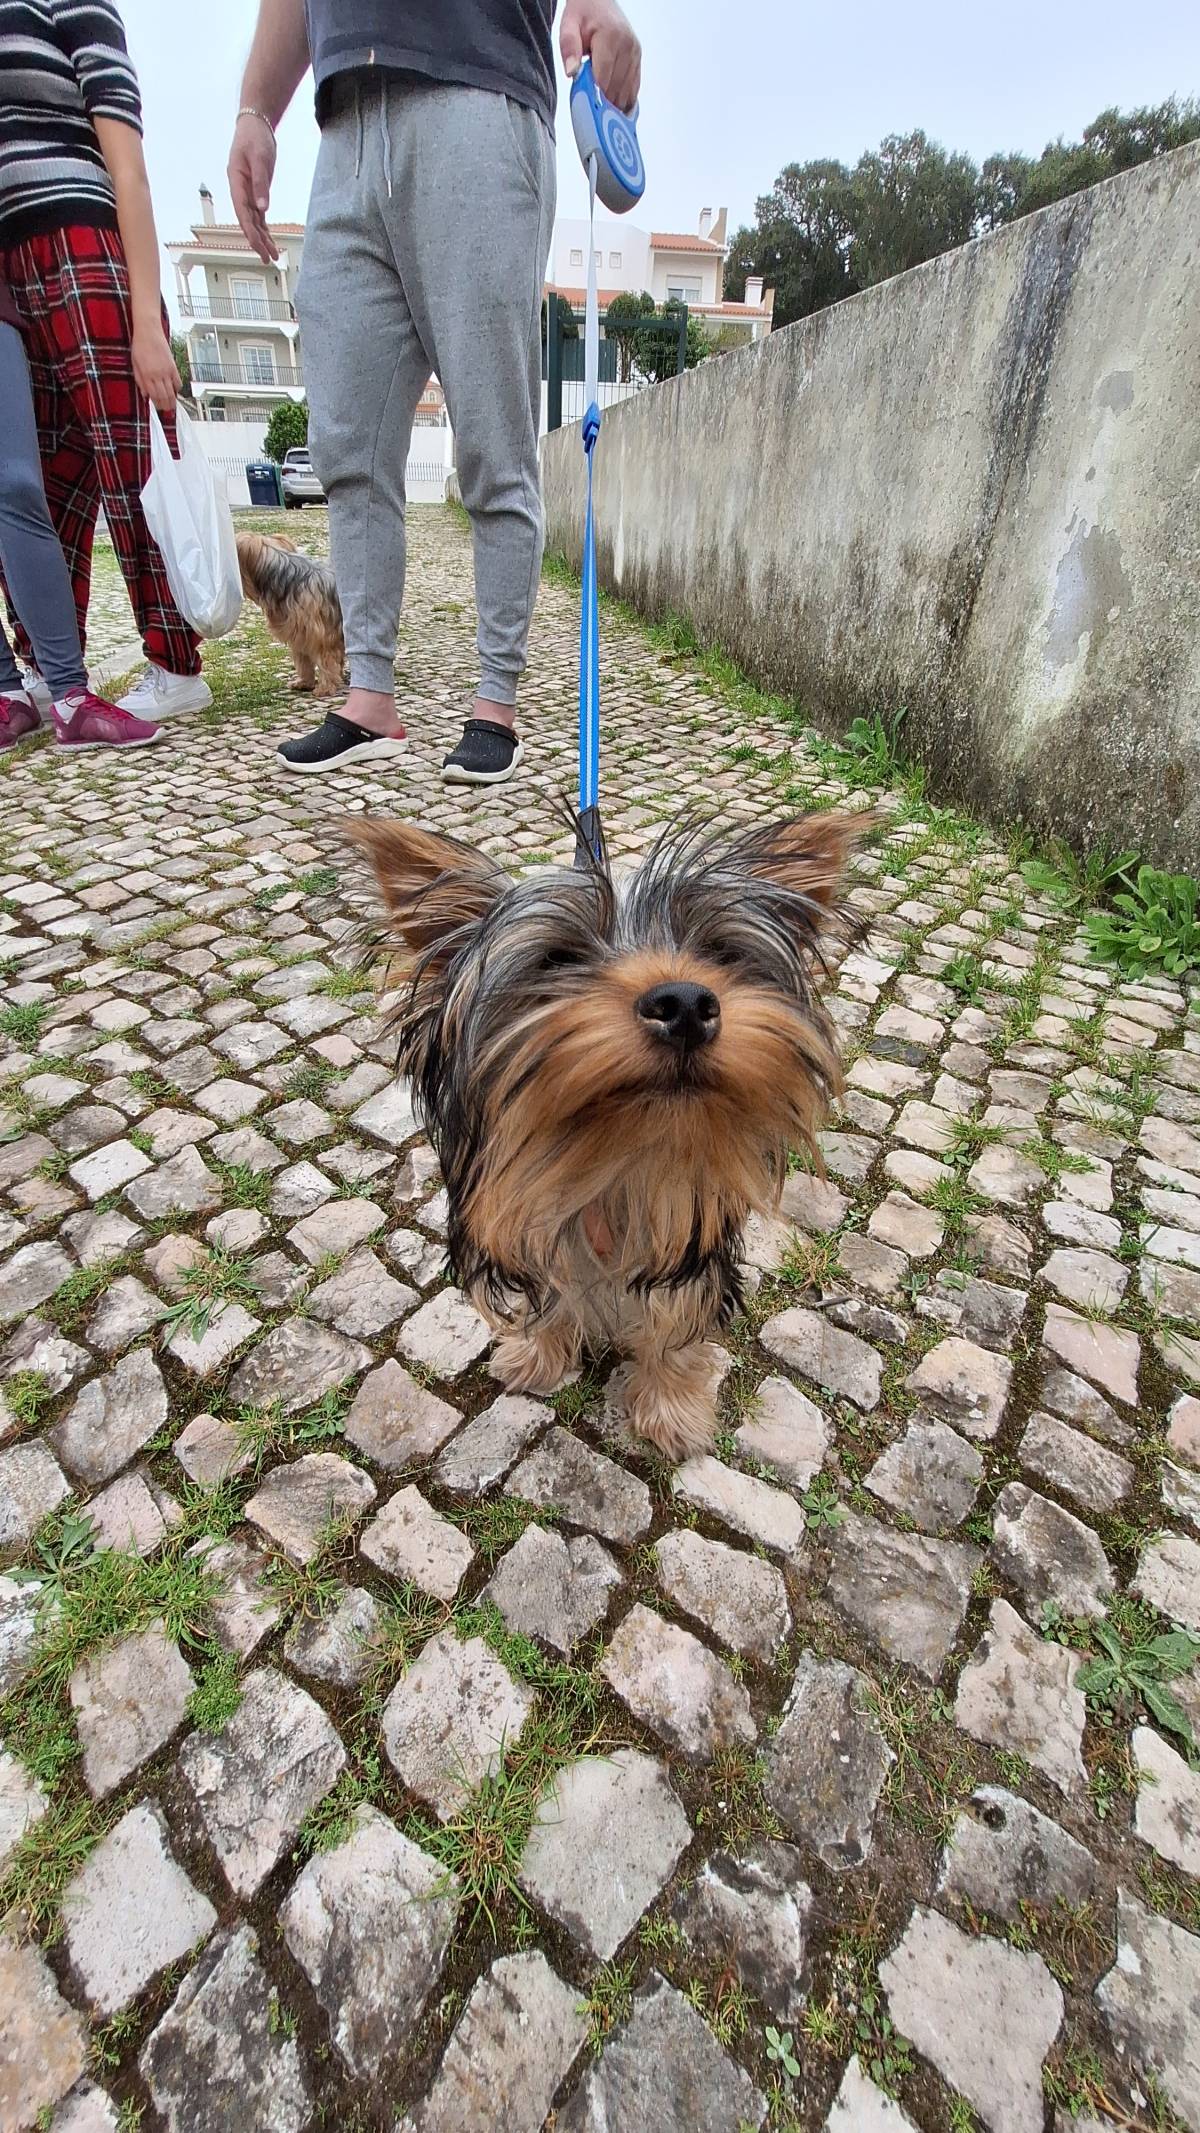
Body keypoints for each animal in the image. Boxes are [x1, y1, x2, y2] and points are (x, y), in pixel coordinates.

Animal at [234, 528, 347, 695]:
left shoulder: (322, 637)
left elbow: (327, 662)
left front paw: (325, 688)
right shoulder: (300, 636)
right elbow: (304, 662)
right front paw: (305, 682)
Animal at [351, 806, 869, 1458]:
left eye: (718, 952)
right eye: (558, 960)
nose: (685, 1002)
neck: (617, 1153)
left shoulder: (690, 1251)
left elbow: (674, 1325)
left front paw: (672, 1413)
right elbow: (547, 1296)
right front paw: (536, 1357)